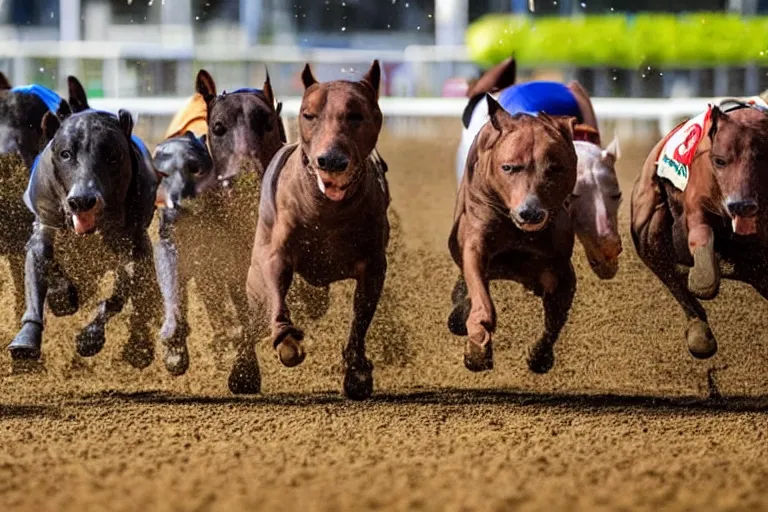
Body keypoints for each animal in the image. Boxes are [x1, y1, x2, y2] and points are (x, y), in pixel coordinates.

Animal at [231, 61, 390, 400]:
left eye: (356, 114)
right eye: (309, 114)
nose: (331, 160)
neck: (327, 210)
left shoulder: (373, 265)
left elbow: (360, 317)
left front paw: (357, 371)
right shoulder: (277, 251)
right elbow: (277, 285)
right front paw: (287, 341)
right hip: (254, 278)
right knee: (252, 320)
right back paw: (243, 371)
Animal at [448, 96, 580, 374]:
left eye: (554, 169)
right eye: (508, 167)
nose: (530, 212)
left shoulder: (557, 265)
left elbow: (555, 315)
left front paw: (540, 357)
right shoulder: (476, 240)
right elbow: (480, 294)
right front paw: (477, 348)